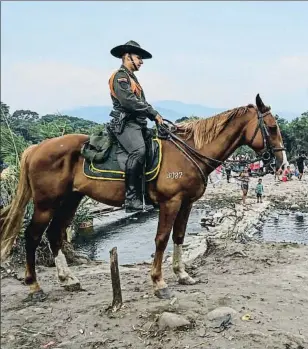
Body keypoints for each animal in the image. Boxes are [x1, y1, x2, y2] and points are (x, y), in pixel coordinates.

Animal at [1, 94, 288, 298]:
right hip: (45, 203)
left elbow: (179, 236)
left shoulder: (186, 203)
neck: (190, 151)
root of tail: (37, 147)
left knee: (55, 234)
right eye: (272, 127)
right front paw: (159, 282)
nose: (282, 163)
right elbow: (161, 239)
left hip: (70, 200)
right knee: (32, 236)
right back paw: (34, 286)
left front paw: (182, 274)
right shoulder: (170, 203)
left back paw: (68, 279)